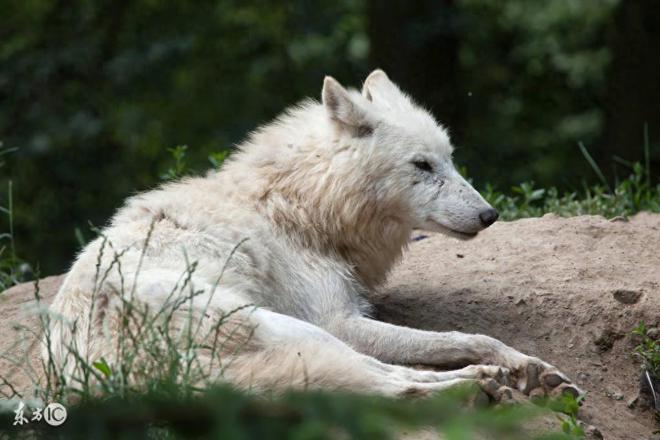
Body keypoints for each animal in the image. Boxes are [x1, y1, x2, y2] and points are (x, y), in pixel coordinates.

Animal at [47, 70, 576, 400]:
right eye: (422, 166)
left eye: (449, 160)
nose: (490, 214)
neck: (300, 207)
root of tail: (126, 371)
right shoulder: (337, 319)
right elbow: (462, 335)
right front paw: (518, 361)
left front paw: (525, 368)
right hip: (296, 329)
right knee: (391, 380)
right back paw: (481, 383)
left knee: (384, 382)